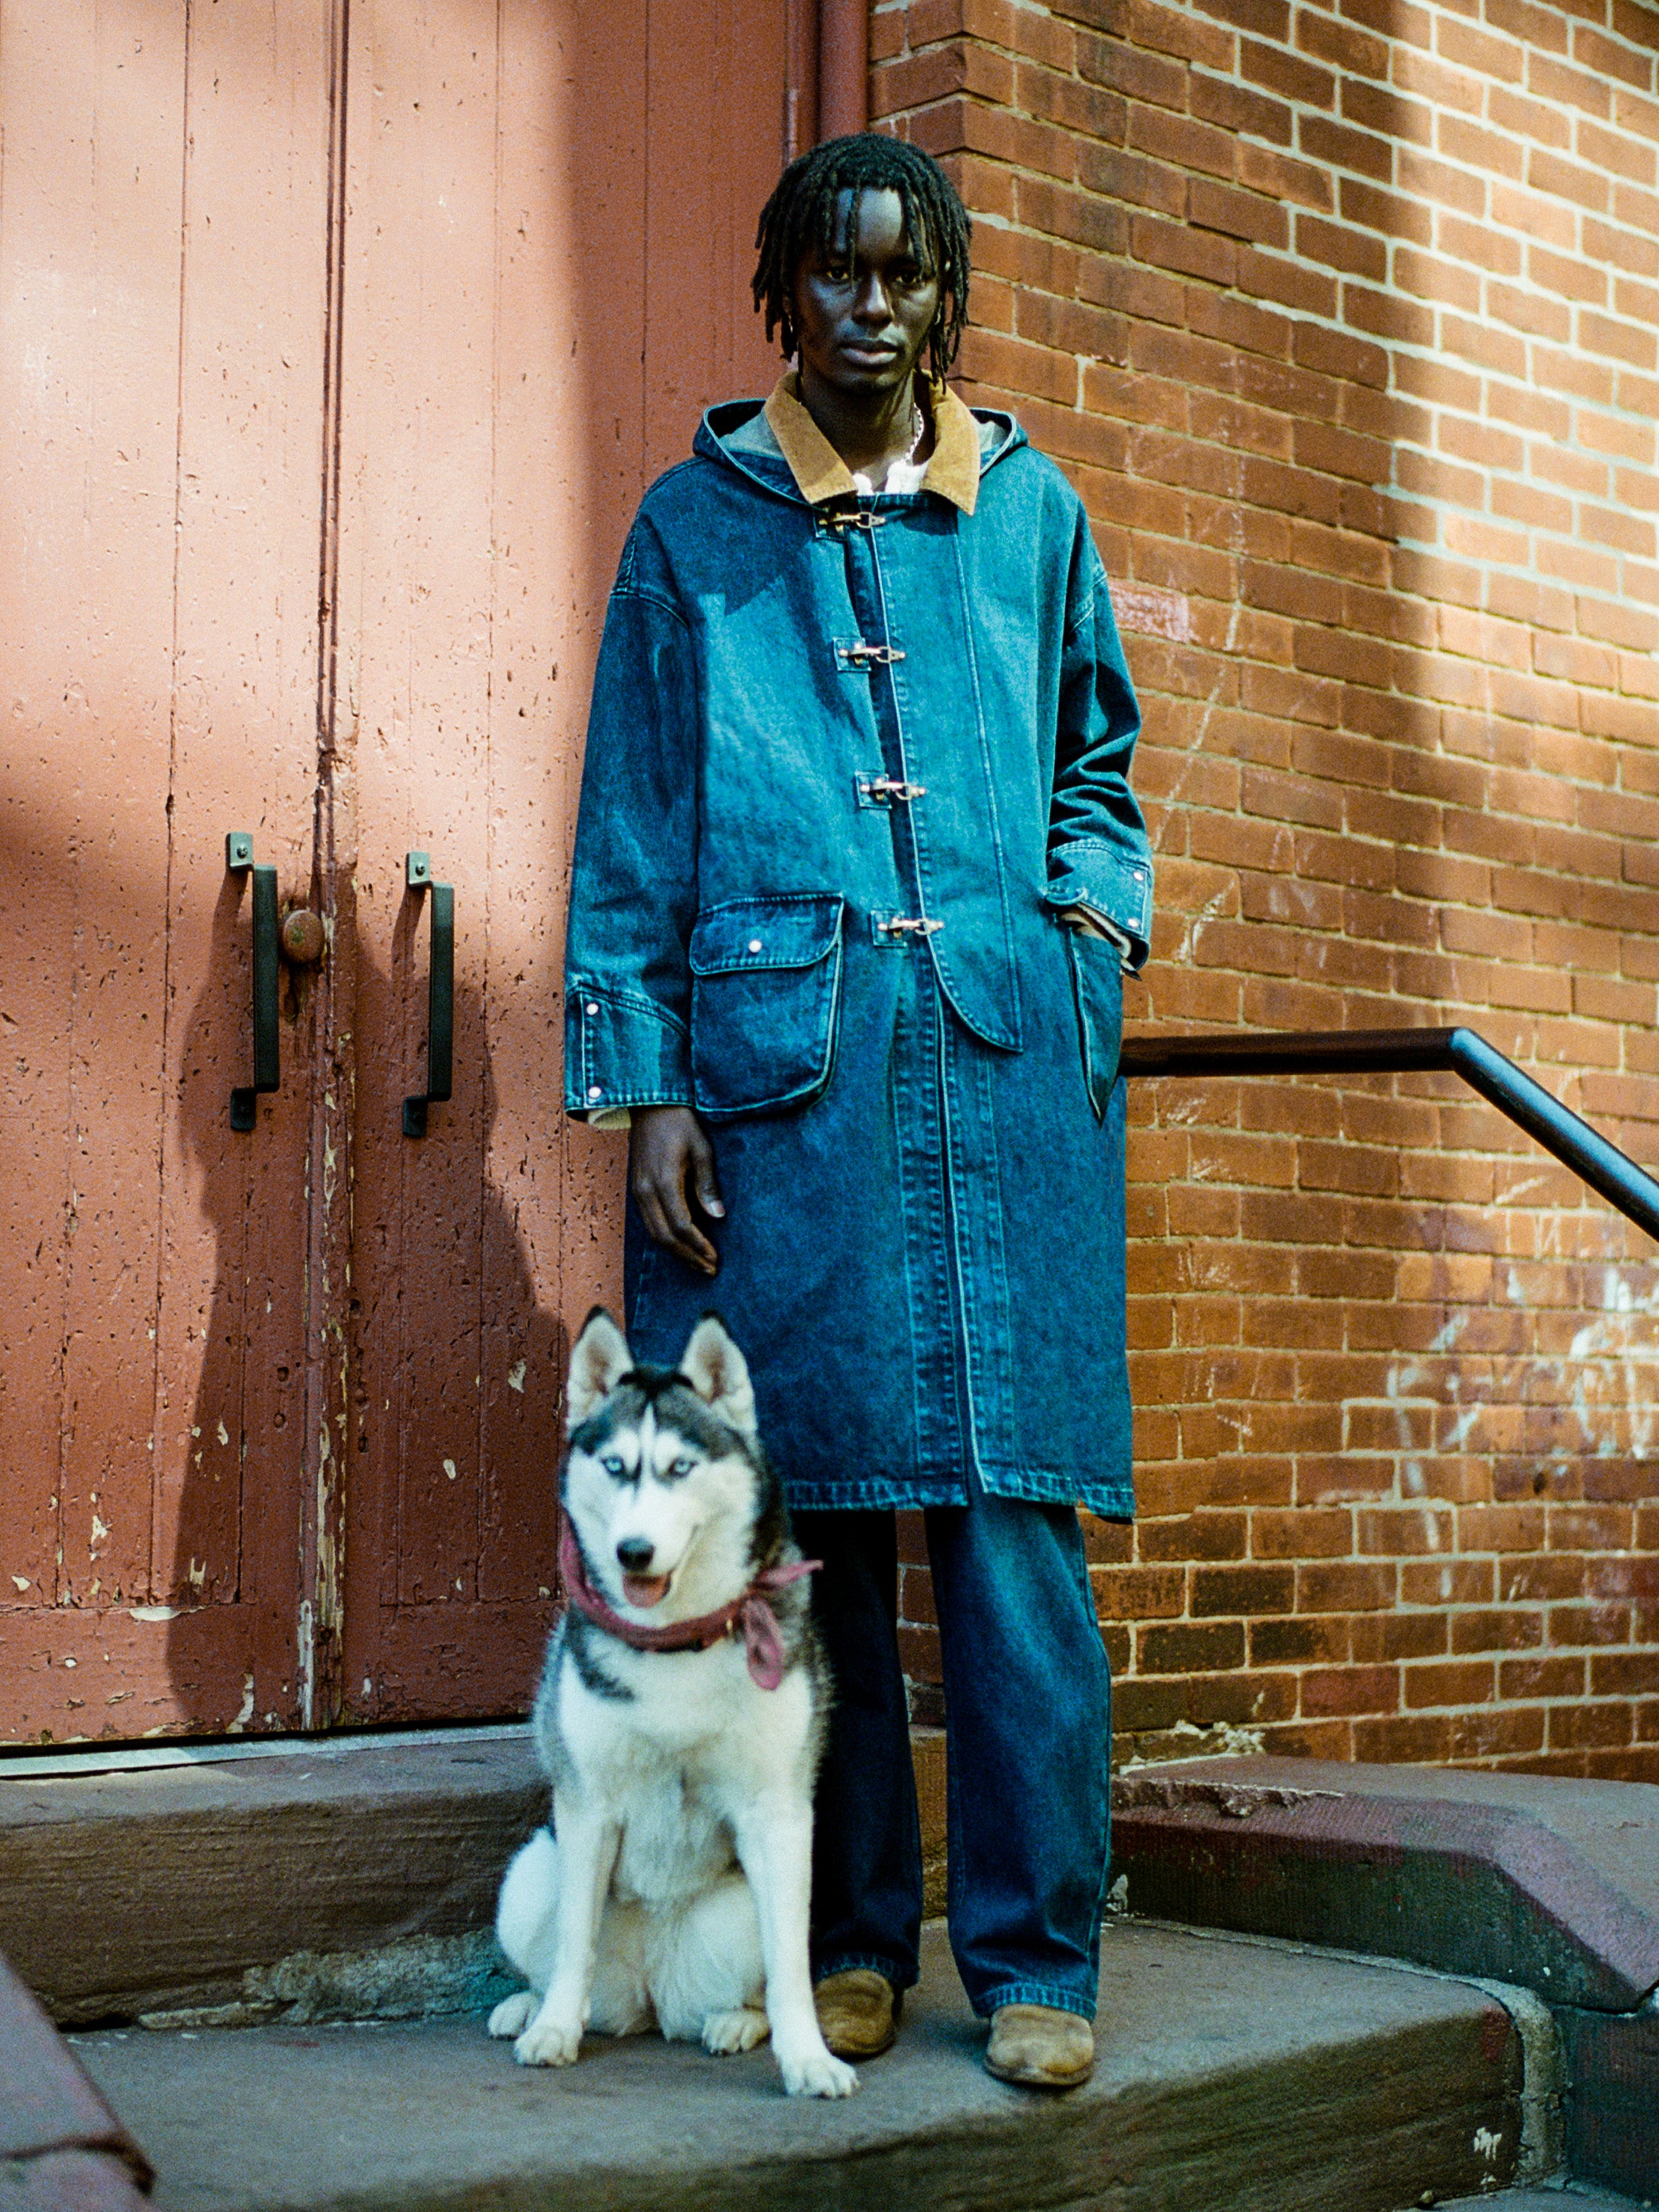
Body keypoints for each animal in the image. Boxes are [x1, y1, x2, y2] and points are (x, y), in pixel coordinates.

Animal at [487, 1301, 858, 2097]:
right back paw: (530, 2004)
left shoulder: (778, 1812)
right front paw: (553, 2028)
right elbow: (575, 1939)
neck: (678, 1640)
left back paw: (736, 2021)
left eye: (680, 1467)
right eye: (616, 1466)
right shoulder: (586, 1806)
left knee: (762, 1973)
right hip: (529, 1874)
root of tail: (652, 1995)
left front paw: (809, 2057)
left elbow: (791, 1971)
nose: (633, 1550)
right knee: (558, 1952)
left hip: (746, 1908)